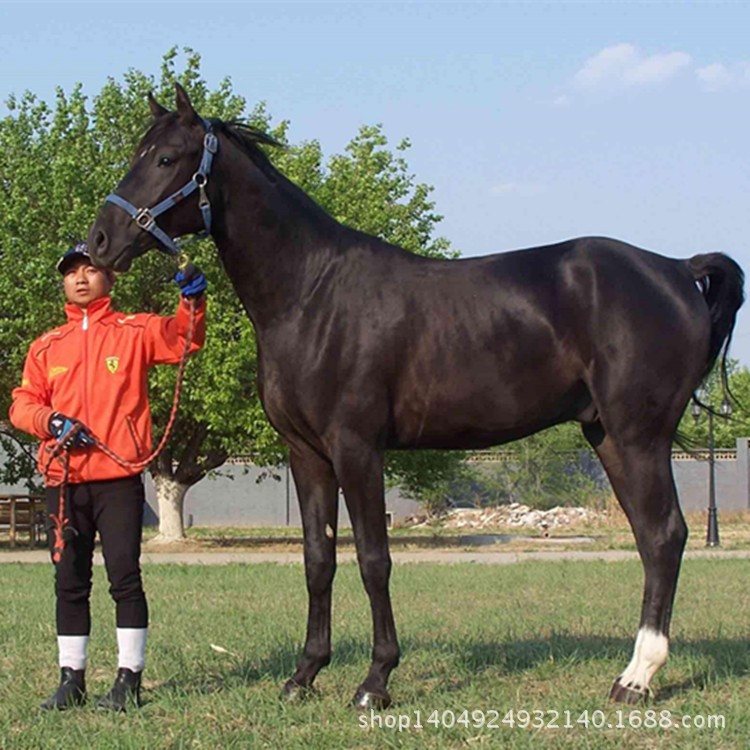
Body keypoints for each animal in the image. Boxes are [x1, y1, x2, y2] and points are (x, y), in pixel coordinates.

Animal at [88, 86, 748, 712]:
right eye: (137, 154)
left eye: (166, 158)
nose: (98, 241)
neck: (312, 292)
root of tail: (674, 268)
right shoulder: (306, 453)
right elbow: (317, 559)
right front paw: (304, 675)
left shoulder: (357, 448)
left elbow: (374, 559)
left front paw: (375, 682)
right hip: (608, 436)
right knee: (651, 538)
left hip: (639, 437)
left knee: (664, 536)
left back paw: (636, 678)